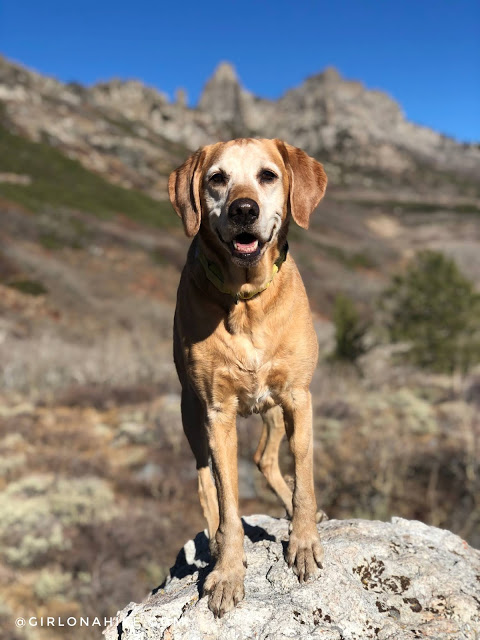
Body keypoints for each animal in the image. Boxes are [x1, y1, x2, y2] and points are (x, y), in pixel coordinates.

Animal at [168, 138, 326, 616]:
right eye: (216, 179)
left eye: (268, 175)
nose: (243, 209)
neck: (246, 298)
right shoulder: (216, 413)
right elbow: (226, 498)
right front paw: (227, 572)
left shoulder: (298, 396)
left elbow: (304, 475)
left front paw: (304, 541)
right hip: (191, 414)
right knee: (206, 484)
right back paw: (218, 540)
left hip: (272, 408)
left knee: (267, 458)